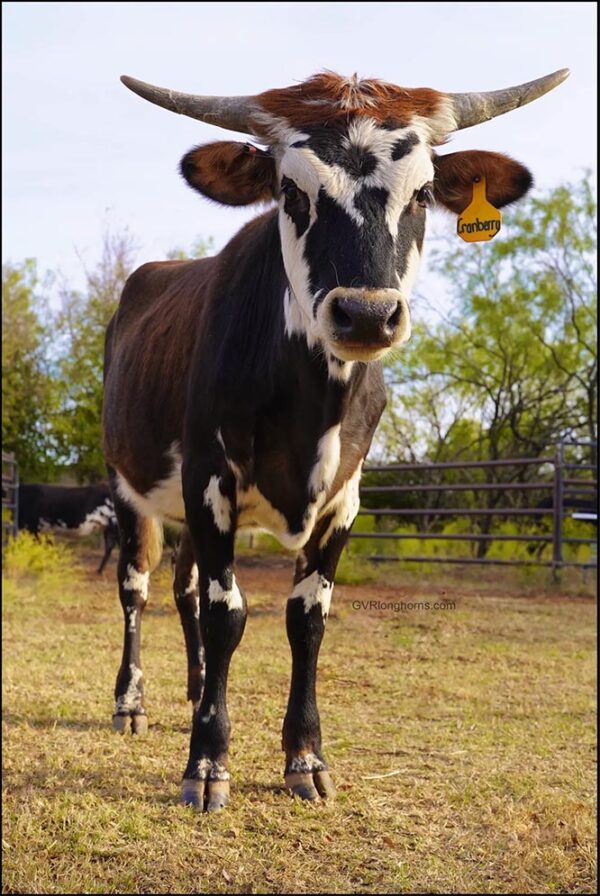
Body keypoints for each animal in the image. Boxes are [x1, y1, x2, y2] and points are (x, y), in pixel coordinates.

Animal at [103, 68, 568, 811]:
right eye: (292, 191)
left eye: (424, 192)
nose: (367, 314)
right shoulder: (210, 478)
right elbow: (228, 613)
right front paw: (207, 764)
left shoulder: (344, 497)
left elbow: (306, 619)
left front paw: (305, 757)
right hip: (131, 487)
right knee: (138, 589)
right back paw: (131, 702)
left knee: (183, 589)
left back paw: (199, 689)